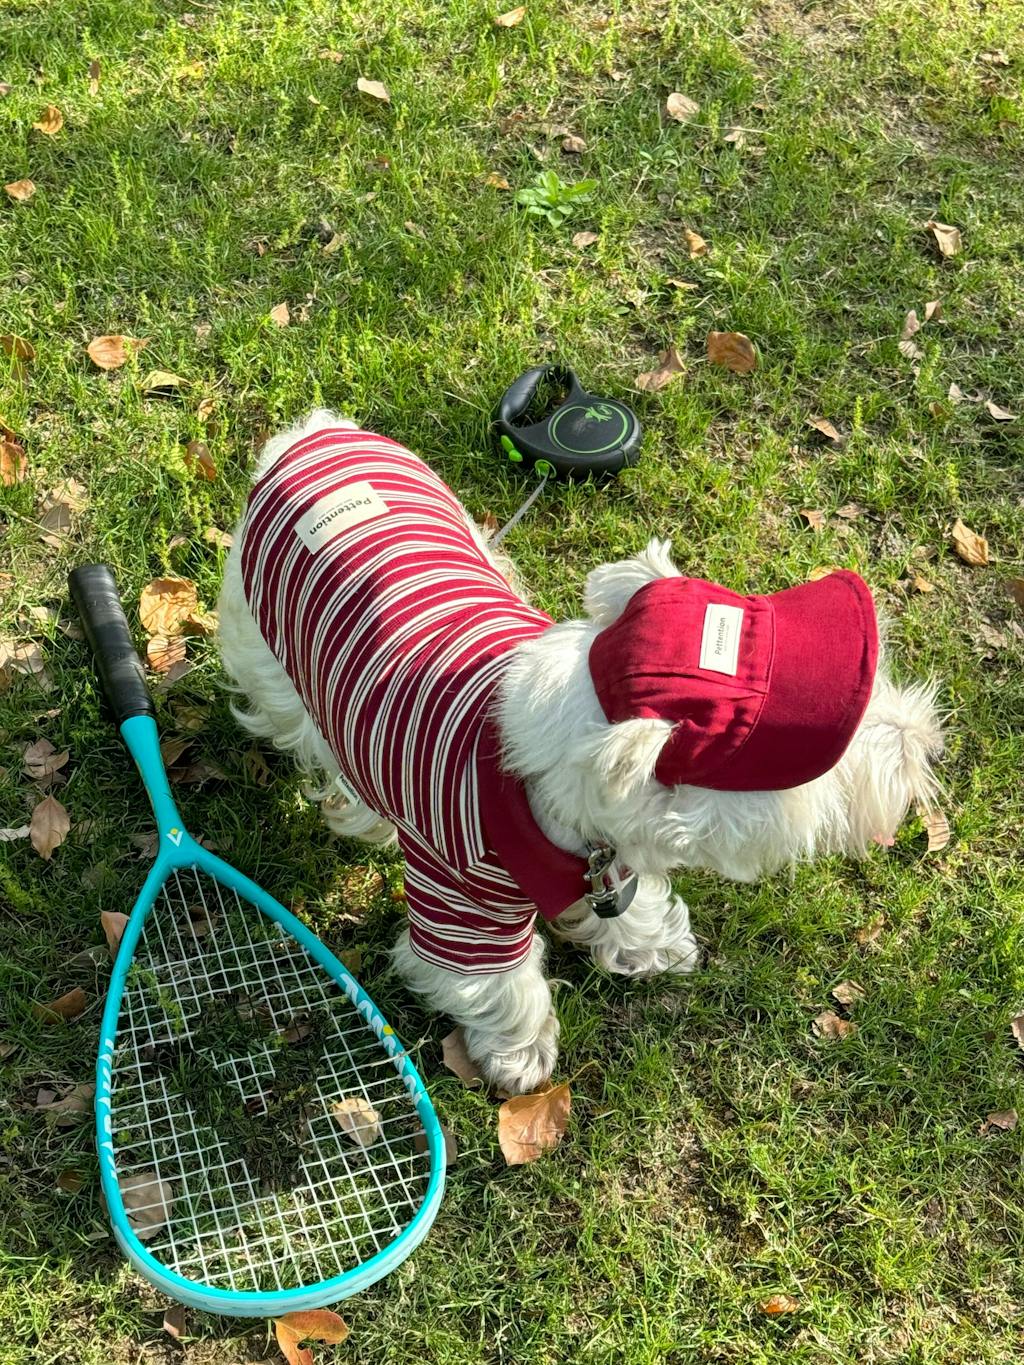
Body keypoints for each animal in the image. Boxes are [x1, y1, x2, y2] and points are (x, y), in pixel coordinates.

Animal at [217, 411, 943, 1095]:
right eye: (828, 758)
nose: (926, 735)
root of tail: (315, 433)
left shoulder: (611, 863)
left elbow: (629, 906)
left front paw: (649, 944)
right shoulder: (461, 916)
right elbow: (503, 985)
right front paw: (519, 1053)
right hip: (271, 656)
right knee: (308, 733)